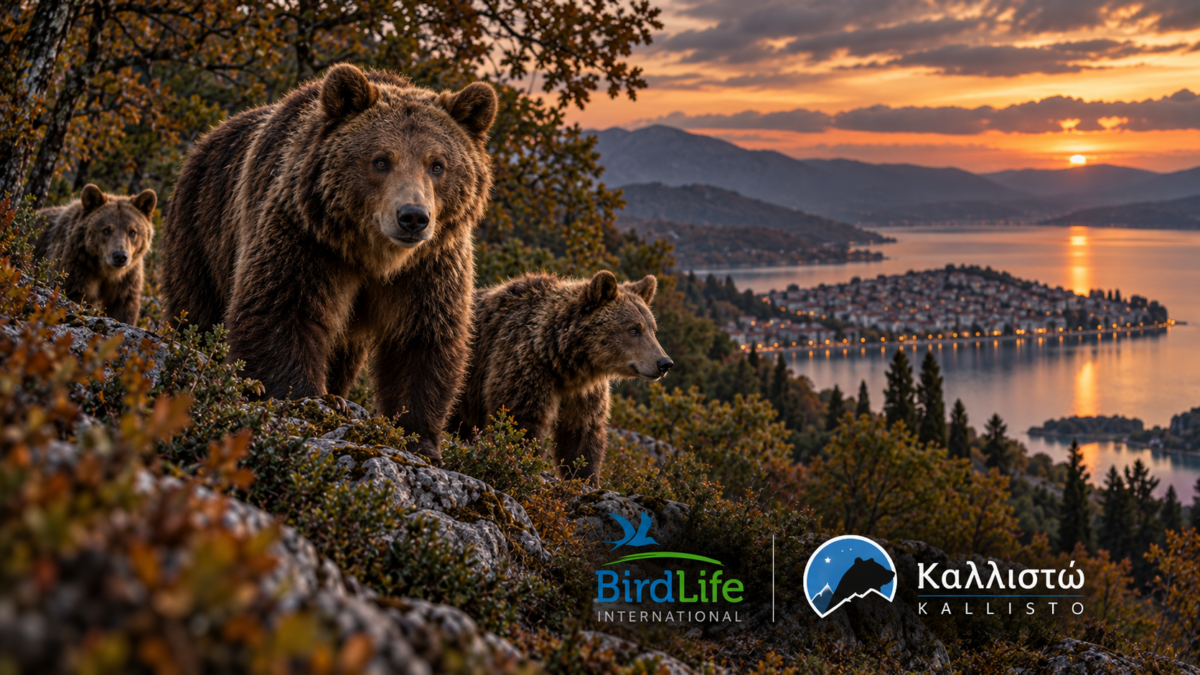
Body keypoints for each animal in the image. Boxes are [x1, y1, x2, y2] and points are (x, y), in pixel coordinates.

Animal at [33, 184, 156, 325]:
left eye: (132, 231)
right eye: (106, 230)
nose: (120, 256)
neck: (106, 271)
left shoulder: (127, 282)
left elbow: (123, 310)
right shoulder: (78, 267)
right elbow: (72, 292)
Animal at [158, 64, 497, 463]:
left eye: (438, 165)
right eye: (381, 160)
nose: (413, 217)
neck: (374, 256)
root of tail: (208, 138)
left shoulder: (429, 267)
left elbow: (422, 338)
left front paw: (419, 438)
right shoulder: (308, 239)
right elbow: (283, 309)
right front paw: (306, 400)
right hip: (201, 228)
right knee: (196, 310)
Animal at [452, 270, 673, 486]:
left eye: (653, 329)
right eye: (633, 329)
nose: (664, 363)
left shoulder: (583, 393)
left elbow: (582, 433)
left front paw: (586, 478)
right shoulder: (524, 366)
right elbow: (520, 421)